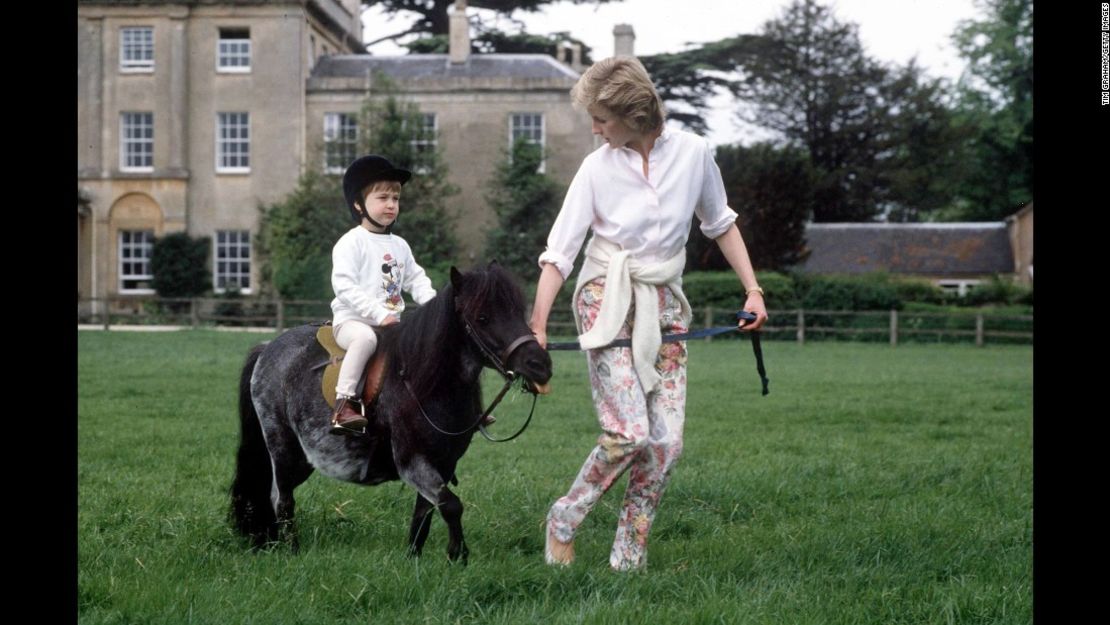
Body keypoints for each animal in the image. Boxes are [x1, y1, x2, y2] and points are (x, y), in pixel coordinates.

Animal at [228, 264, 550, 561]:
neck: (424, 382)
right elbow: (451, 505)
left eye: (518, 311)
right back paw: (292, 551)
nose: (540, 365)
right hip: (282, 447)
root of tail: (267, 348)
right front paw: (458, 556)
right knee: (281, 499)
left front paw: (414, 561)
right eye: (482, 318)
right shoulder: (412, 461)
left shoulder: (443, 464)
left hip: (302, 458)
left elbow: (424, 514)